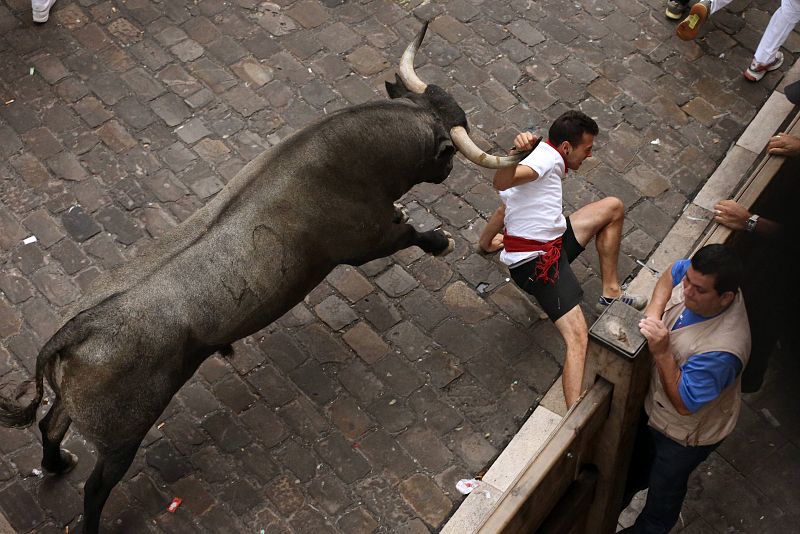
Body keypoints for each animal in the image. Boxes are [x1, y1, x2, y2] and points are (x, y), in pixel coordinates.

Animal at [0, 22, 520, 534]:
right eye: (447, 155)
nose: (448, 170)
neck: (346, 157)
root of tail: (75, 330)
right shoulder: (368, 243)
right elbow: (409, 233)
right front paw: (438, 241)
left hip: (81, 410)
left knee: (50, 426)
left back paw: (57, 463)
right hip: (122, 436)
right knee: (95, 488)